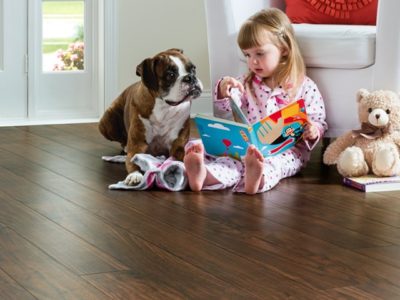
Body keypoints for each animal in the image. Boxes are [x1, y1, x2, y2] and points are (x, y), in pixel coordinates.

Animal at [98, 48, 202, 185]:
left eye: (193, 69)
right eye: (170, 75)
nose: (190, 78)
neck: (164, 107)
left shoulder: (178, 146)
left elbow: (183, 156)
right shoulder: (137, 146)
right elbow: (133, 161)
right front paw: (135, 175)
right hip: (106, 120)